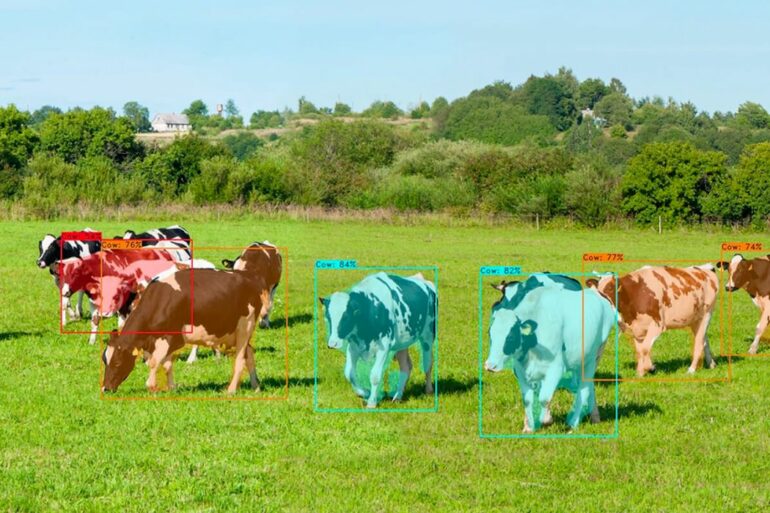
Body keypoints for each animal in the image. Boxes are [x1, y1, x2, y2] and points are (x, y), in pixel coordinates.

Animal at [101, 244, 275, 394]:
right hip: (235, 333)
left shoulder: (168, 338)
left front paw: (152, 388)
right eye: (105, 360)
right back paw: (256, 386)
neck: (161, 300)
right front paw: (172, 388)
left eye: (117, 362)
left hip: (245, 328)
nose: (106, 388)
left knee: (240, 359)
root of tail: (250, 278)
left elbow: (155, 363)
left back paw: (231, 390)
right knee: (249, 354)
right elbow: (167, 364)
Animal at [319, 272, 437, 408]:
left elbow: (375, 375)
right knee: (406, 367)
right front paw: (364, 392)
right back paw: (397, 396)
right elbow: (349, 373)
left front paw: (371, 402)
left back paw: (428, 390)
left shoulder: (384, 348)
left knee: (428, 364)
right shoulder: (353, 347)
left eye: (346, 317)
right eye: (328, 317)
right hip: (402, 343)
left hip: (428, 336)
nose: (332, 343)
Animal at [485, 275, 615, 432]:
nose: (489, 365)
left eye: (510, 337)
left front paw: (547, 419)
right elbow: (528, 398)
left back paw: (581, 420)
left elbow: (544, 397)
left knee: (586, 386)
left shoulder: (555, 367)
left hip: (595, 356)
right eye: (490, 333)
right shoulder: (521, 370)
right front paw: (528, 426)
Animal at [589, 264, 718, 376]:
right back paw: (711, 364)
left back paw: (691, 370)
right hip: (695, 319)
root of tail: (705, 269)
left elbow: (645, 349)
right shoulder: (636, 328)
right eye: (598, 288)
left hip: (707, 314)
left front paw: (647, 368)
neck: (634, 293)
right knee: (704, 340)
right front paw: (642, 372)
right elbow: (640, 351)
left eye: (611, 288)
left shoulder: (657, 325)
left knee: (699, 342)